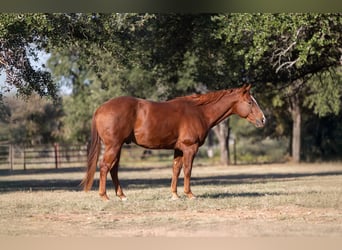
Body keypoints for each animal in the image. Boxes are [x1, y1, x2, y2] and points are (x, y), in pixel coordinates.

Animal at [81, 84, 266, 201]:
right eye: (250, 102)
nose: (263, 119)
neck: (199, 111)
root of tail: (100, 109)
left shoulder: (179, 149)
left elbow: (176, 170)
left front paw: (175, 195)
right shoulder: (190, 148)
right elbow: (188, 170)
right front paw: (190, 194)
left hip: (118, 147)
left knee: (113, 169)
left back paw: (122, 195)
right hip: (113, 146)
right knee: (105, 167)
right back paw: (105, 196)